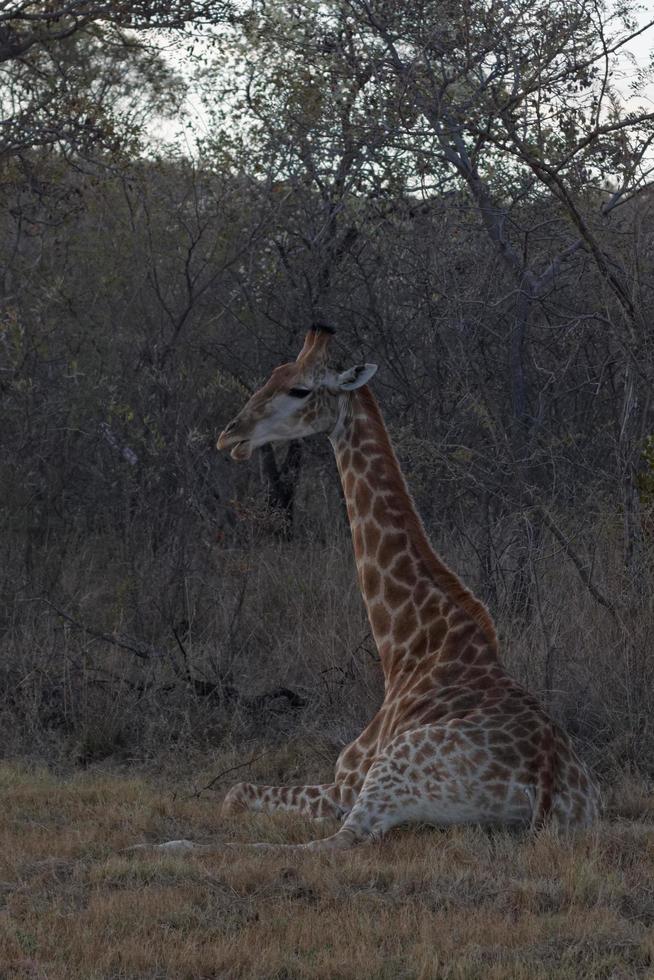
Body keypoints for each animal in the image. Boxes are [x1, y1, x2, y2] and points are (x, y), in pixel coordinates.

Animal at [146, 326, 604, 852]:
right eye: (272, 375)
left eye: (299, 389)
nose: (231, 435)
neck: (407, 646)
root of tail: (544, 790)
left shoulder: (344, 783)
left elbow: (235, 792)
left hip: (387, 774)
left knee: (332, 844)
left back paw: (164, 845)